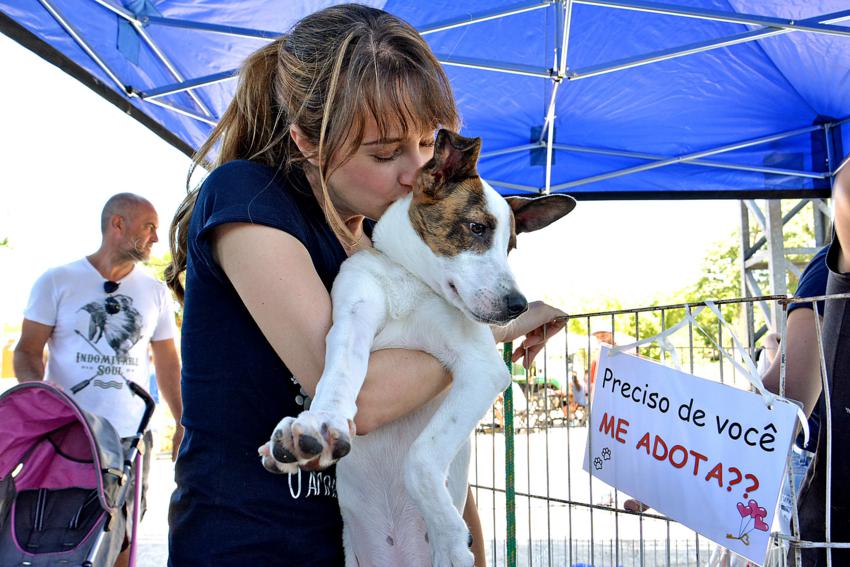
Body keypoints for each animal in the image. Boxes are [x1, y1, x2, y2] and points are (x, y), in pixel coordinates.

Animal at [262, 131, 572, 564]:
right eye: (476, 228)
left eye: (510, 247)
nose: (519, 306)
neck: (408, 280)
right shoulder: (352, 320)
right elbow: (339, 374)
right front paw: (320, 422)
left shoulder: (483, 369)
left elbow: (420, 457)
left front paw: (449, 538)